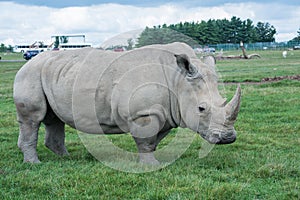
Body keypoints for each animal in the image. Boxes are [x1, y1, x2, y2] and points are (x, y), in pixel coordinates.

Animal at [13, 42, 241, 164]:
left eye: (223, 101)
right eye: (201, 109)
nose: (228, 138)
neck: (178, 80)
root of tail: (27, 63)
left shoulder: (167, 112)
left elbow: (153, 139)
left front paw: (150, 159)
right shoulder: (143, 112)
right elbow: (147, 139)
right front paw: (151, 165)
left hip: (51, 74)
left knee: (53, 118)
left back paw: (65, 159)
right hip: (30, 74)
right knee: (33, 118)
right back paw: (35, 163)